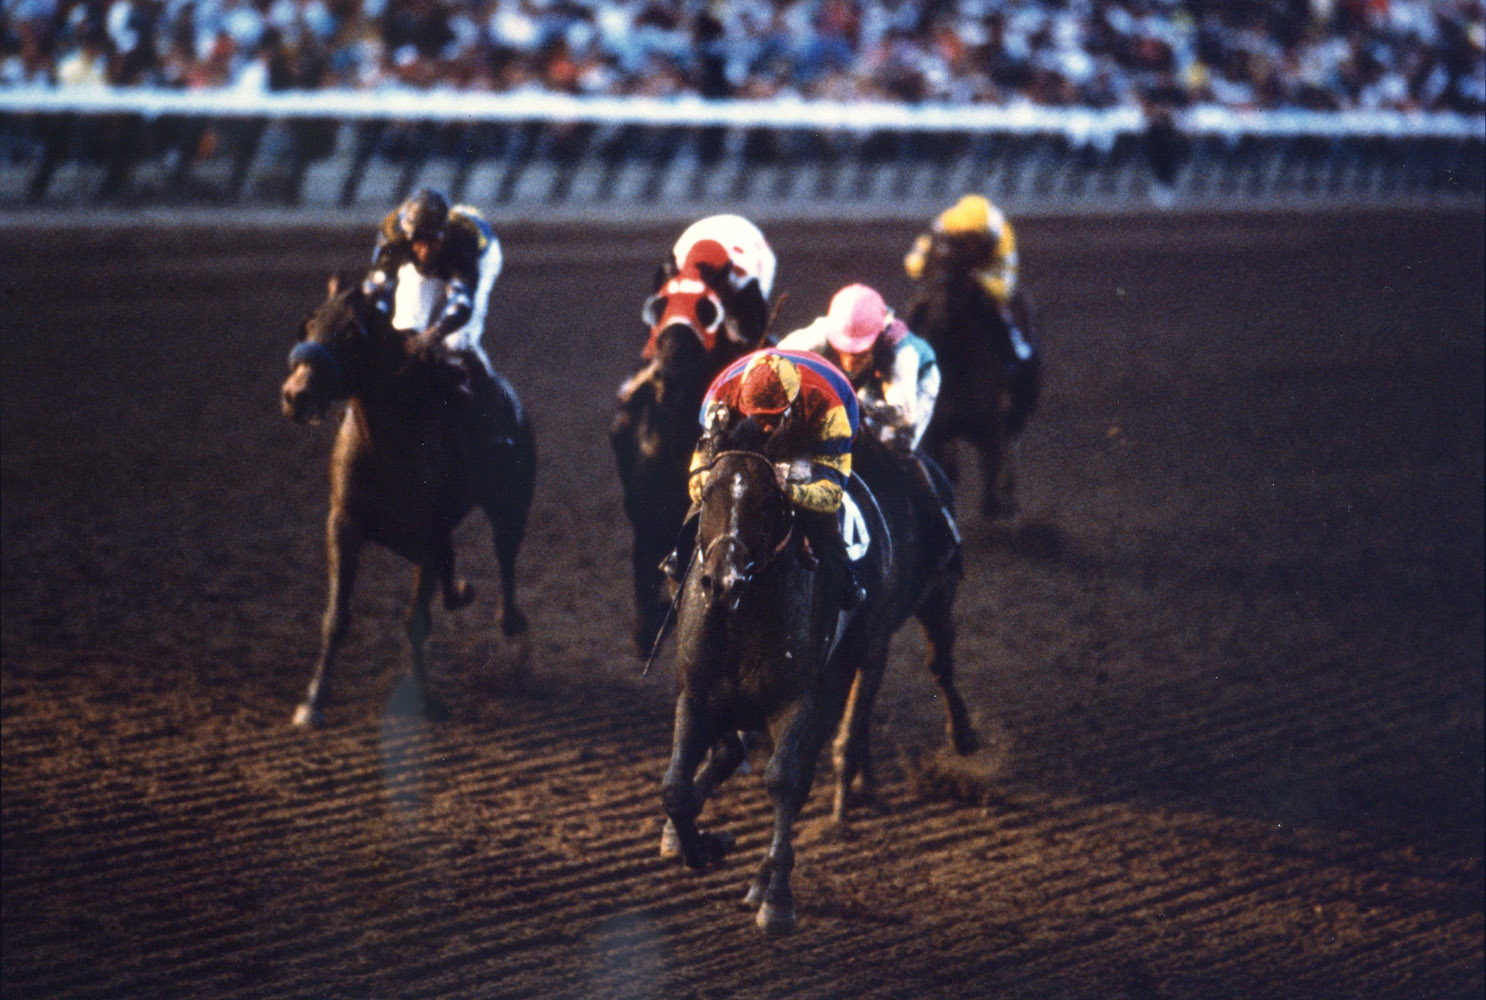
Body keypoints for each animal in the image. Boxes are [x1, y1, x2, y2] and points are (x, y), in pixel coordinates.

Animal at [280, 273, 537, 725]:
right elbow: (336, 617)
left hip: (511, 507)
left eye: (353, 333)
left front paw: (427, 701)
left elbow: (416, 619)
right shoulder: (344, 525)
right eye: (307, 326)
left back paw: (511, 625)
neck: (387, 443)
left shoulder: (427, 537)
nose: (296, 395)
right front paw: (312, 702)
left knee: (506, 560)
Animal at [662, 436, 974, 939]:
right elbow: (676, 789)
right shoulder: (697, 693)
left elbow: (785, 780)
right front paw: (706, 844)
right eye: (707, 495)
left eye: (767, 504)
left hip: (928, 601)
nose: (724, 580)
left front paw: (776, 899)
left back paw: (962, 737)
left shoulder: (803, 697)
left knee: (939, 662)